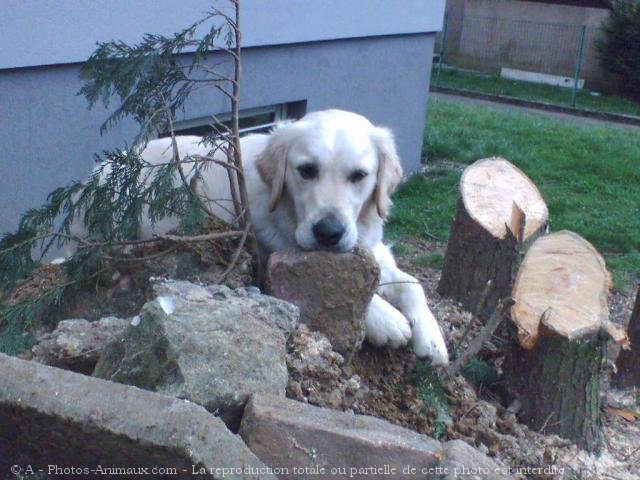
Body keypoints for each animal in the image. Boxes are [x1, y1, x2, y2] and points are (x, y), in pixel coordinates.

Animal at [77, 109, 448, 364]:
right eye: (306, 170)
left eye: (359, 175)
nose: (328, 233)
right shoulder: (270, 259)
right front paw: (387, 320)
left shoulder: (374, 248)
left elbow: (414, 283)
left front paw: (432, 339)